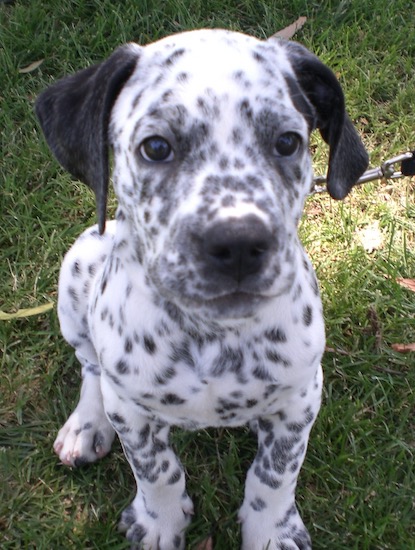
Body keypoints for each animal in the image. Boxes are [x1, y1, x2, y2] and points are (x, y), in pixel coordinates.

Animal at [35, 30, 368, 550]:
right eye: (156, 147)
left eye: (287, 142)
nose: (238, 243)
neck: (211, 332)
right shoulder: (132, 412)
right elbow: (156, 470)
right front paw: (160, 523)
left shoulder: (299, 400)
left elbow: (274, 474)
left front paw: (271, 531)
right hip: (78, 265)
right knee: (90, 365)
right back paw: (86, 425)